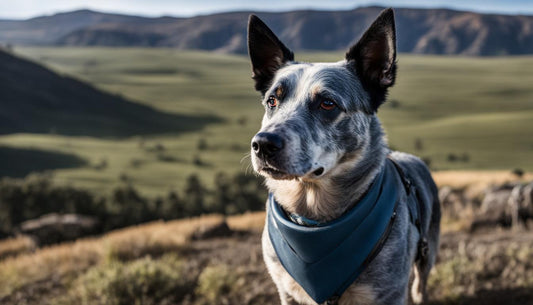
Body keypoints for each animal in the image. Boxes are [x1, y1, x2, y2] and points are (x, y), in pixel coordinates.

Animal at [247, 6, 438, 304]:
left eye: (328, 103)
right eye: (272, 101)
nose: (263, 144)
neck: (314, 223)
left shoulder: (389, 292)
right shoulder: (286, 291)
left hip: (428, 251)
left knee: (421, 283)